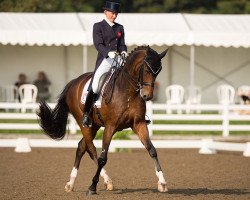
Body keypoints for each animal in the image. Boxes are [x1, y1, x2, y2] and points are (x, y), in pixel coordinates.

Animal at [37, 45, 169, 195]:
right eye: (147, 70)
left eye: (158, 71)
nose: (147, 96)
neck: (127, 91)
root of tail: (74, 82)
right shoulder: (110, 127)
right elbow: (102, 158)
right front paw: (92, 187)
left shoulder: (139, 124)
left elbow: (152, 150)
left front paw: (162, 183)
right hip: (84, 124)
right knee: (91, 149)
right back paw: (104, 181)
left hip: (94, 125)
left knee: (81, 147)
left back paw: (71, 183)